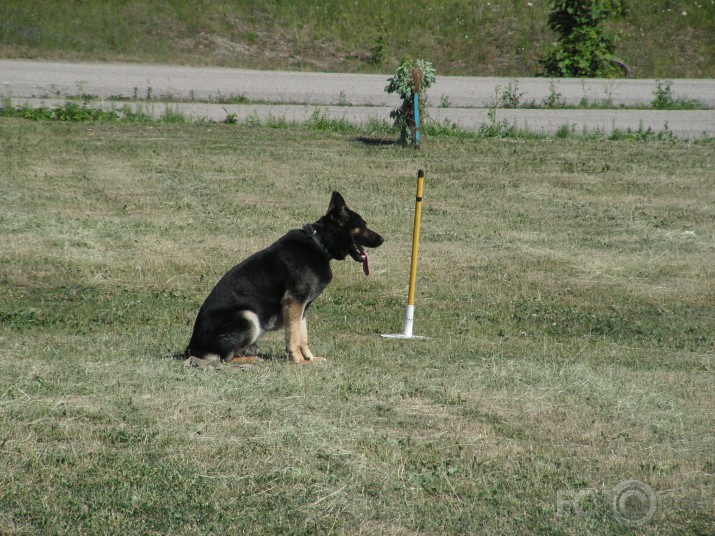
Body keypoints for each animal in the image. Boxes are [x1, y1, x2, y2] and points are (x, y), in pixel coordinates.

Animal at [186, 192, 386, 364]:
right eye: (363, 225)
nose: (383, 239)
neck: (319, 244)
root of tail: (192, 348)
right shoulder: (293, 303)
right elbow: (293, 337)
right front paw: (299, 361)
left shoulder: (303, 307)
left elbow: (303, 336)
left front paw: (310, 359)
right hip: (248, 316)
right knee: (224, 358)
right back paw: (252, 360)